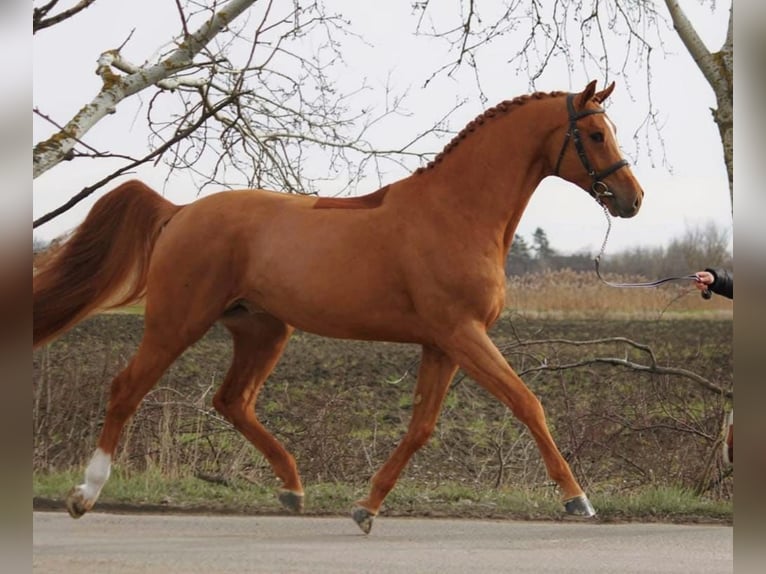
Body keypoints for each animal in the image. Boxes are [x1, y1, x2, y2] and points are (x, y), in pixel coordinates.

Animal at [33, 80, 643, 534]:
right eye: (594, 133)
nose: (633, 199)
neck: (456, 212)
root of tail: (180, 211)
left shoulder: (442, 344)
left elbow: (421, 427)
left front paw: (366, 508)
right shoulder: (463, 333)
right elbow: (527, 403)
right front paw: (578, 500)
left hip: (263, 330)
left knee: (232, 401)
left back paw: (292, 488)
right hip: (176, 321)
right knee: (127, 388)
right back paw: (85, 494)